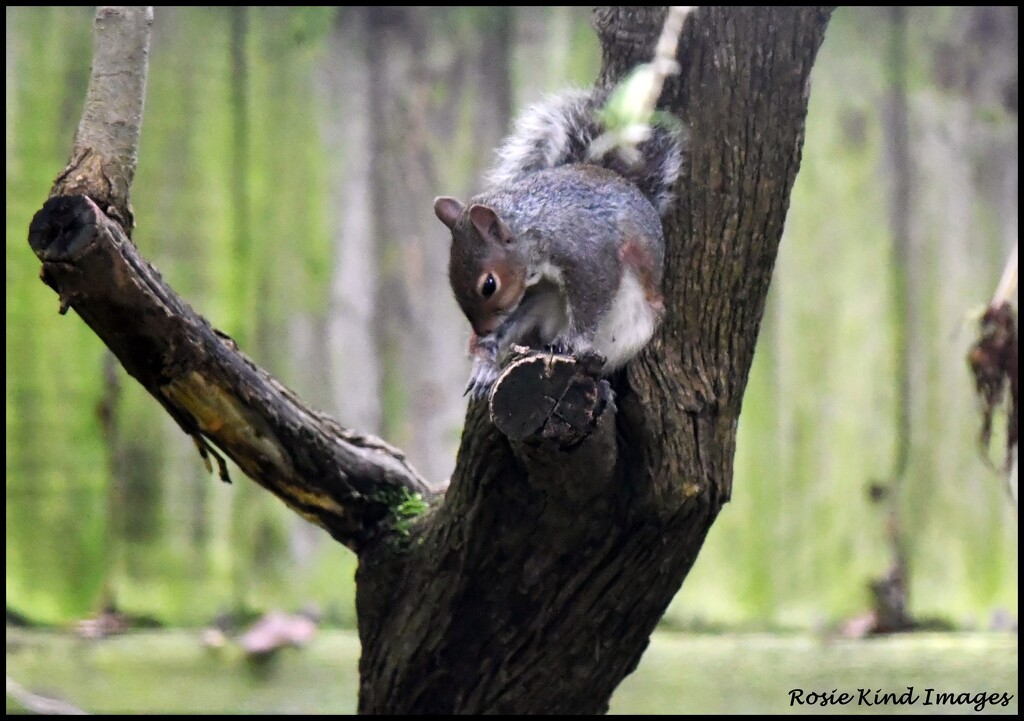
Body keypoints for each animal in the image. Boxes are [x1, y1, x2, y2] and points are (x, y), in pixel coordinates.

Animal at [434, 88, 688, 399]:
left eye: (489, 285)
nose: (481, 331)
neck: (536, 228)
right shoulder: (528, 289)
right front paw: (484, 352)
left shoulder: (590, 253)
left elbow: (593, 299)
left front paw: (572, 341)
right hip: (541, 302)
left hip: (628, 332)